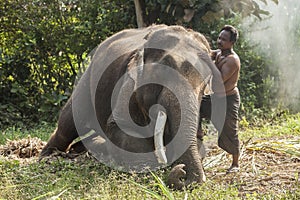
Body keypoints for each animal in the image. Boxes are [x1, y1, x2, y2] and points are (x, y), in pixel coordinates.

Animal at [39, 24, 223, 190]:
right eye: (161, 72)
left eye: (205, 83)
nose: (182, 171)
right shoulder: (128, 83)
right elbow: (123, 131)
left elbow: (199, 141)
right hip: (86, 81)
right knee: (70, 123)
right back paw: (47, 157)